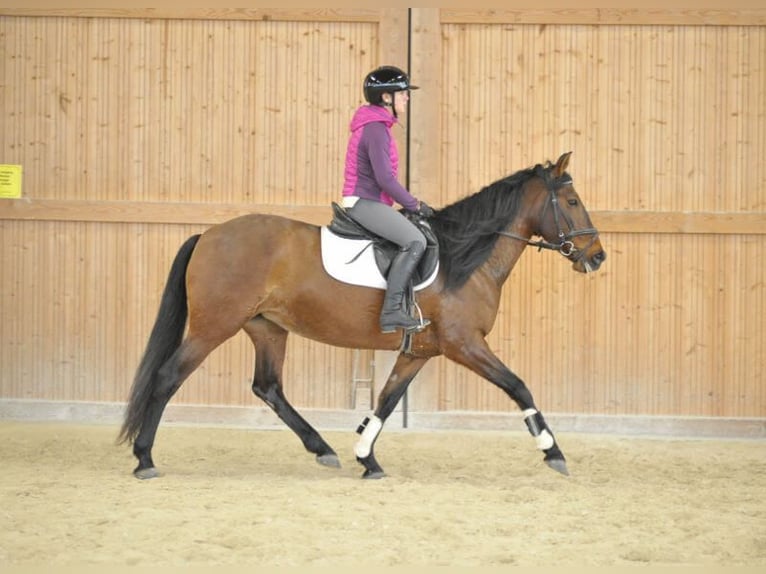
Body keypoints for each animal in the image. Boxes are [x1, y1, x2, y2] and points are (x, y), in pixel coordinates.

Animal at [118, 153, 608, 482]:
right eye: (572, 200)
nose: (597, 256)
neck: (461, 260)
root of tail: (208, 234)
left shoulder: (420, 352)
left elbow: (386, 403)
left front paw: (366, 457)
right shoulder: (464, 344)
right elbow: (518, 385)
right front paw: (553, 452)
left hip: (267, 327)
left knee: (268, 387)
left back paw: (322, 448)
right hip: (213, 326)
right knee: (167, 377)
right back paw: (145, 459)